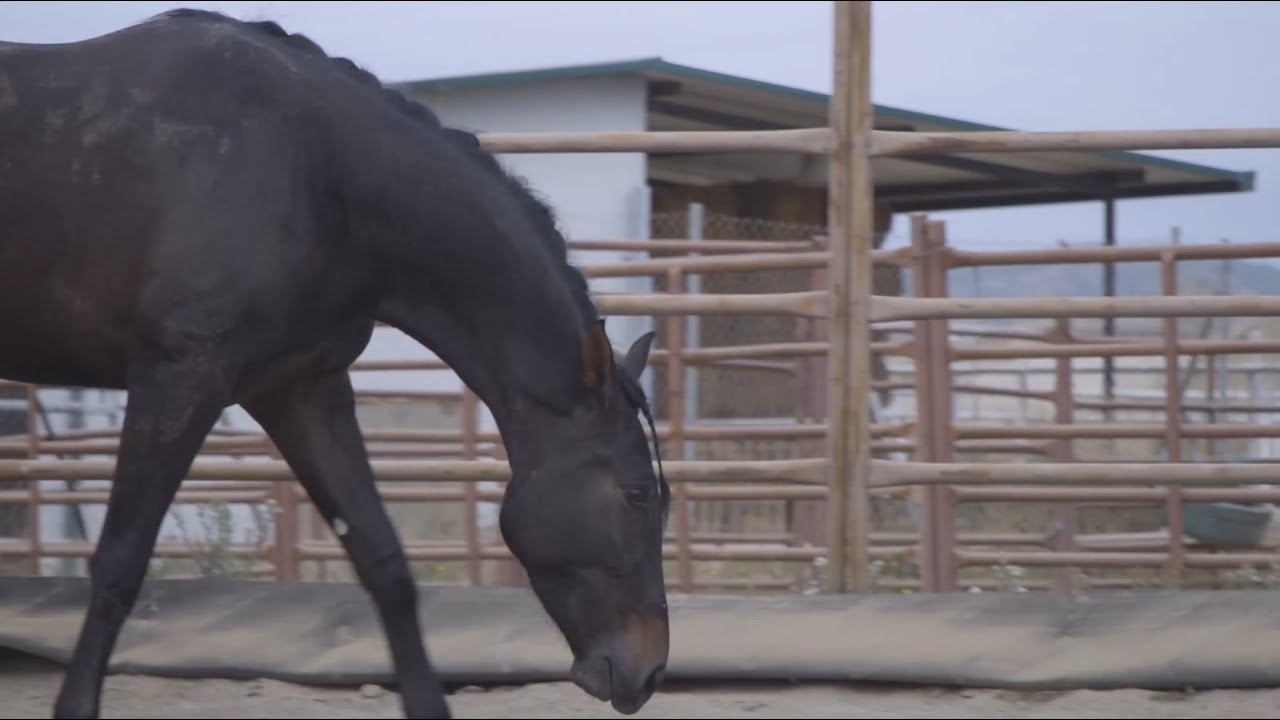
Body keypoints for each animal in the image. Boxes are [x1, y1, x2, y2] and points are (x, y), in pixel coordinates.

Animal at [0, 8, 671, 718]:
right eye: (635, 494)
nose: (650, 670)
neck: (314, 172)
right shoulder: (177, 380)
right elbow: (120, 564)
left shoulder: (300, 390)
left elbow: (385, 562)